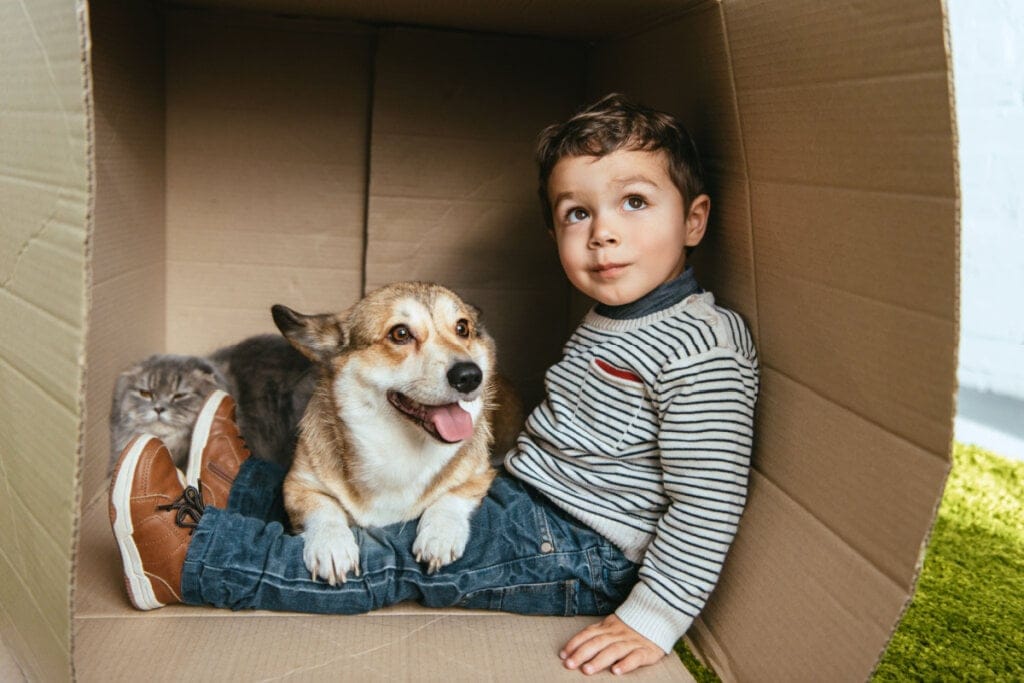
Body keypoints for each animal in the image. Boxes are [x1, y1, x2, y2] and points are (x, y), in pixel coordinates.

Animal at [272, 280, 516, 585]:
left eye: (462, 328)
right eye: (400, 333)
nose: (470, 376)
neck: (401, 447)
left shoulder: (480, 474)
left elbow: (452, 496)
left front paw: (440, 534)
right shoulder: (296, 485)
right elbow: (323, 507)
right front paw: (331, 544)